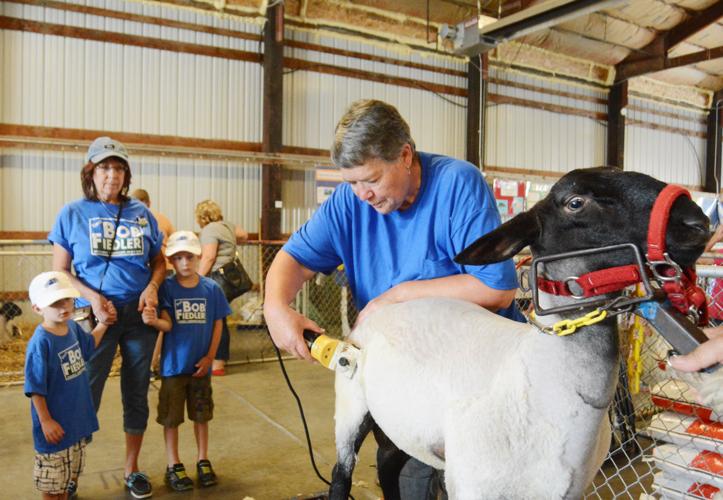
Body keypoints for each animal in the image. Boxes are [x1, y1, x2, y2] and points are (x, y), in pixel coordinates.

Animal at [330, 169, 712, 500]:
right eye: (575, 202)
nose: (698, 224)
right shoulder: (474, 486)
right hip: (350, 403)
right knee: (342, 470)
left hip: (400, 421)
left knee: (387, 461)